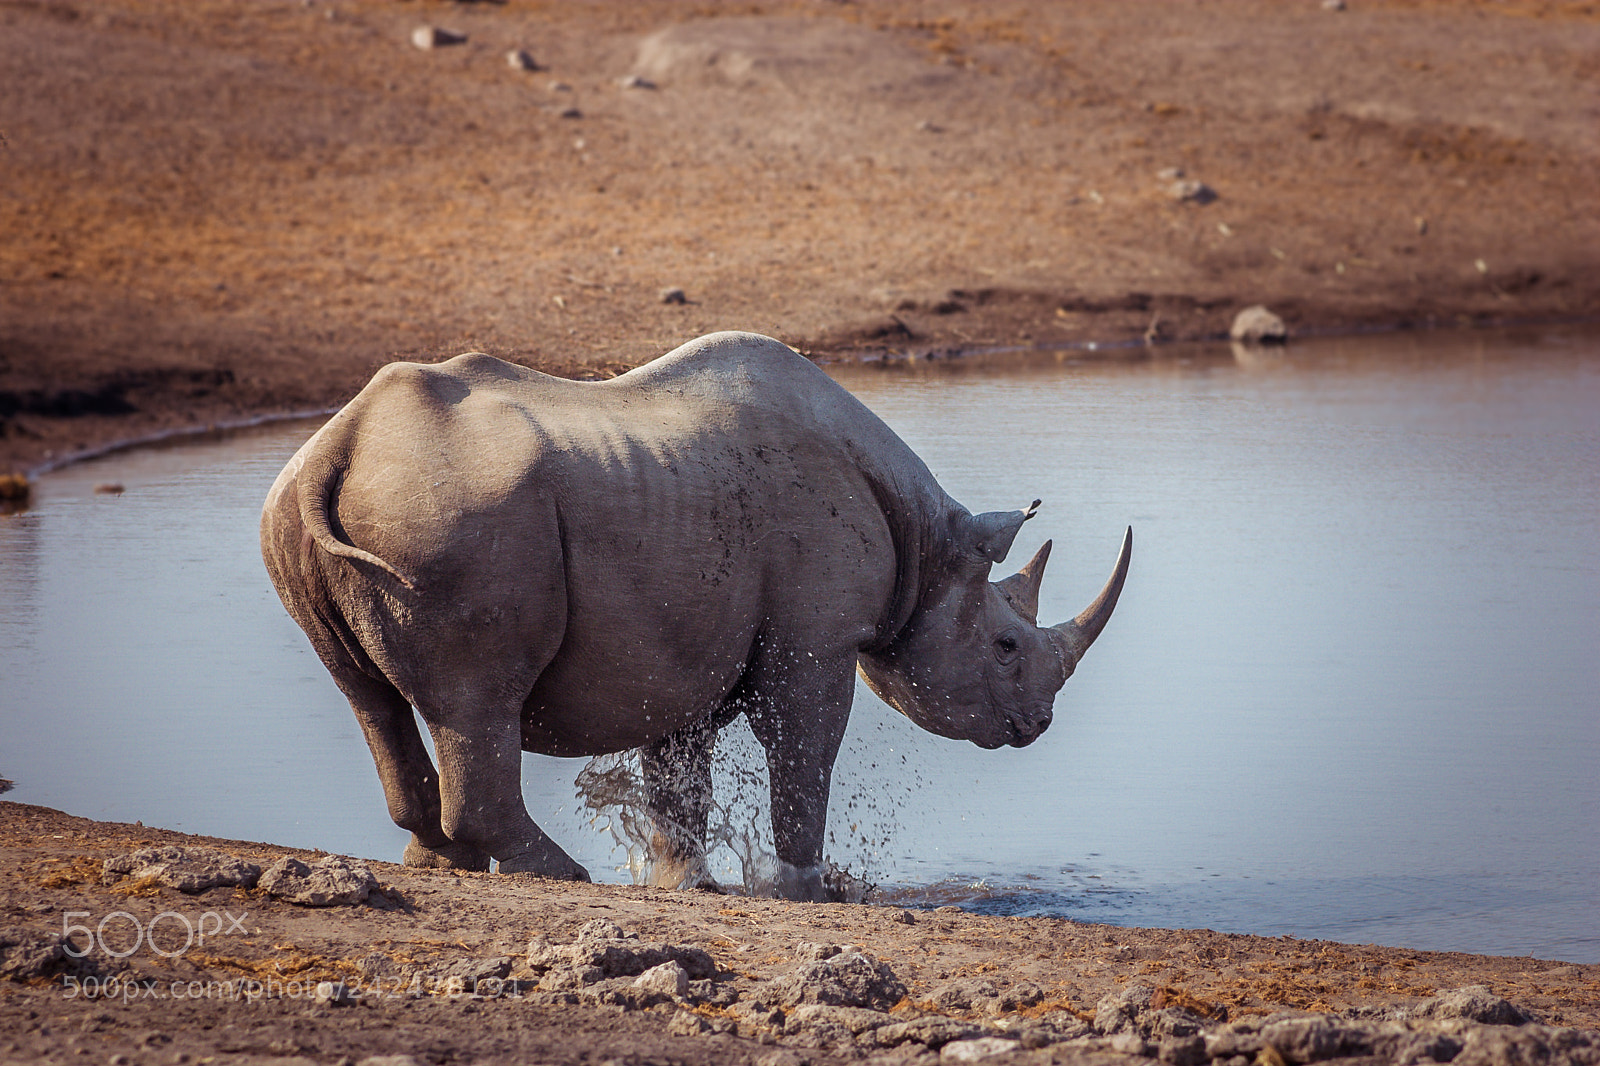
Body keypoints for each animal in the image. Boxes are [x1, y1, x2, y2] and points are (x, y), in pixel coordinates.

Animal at [260, 331, 1130, 901]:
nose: (1038, 724)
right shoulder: (815, 642)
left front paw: (689, 882)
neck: (927, 543)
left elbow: (679, 777)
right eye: (1007, 645)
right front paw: (803, 887)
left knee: (371, 698)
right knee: (479, 702)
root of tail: (342, 444)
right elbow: (804, 754)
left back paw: (443, 865)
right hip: (456, 519)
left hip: (308, 520)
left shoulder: (679, 638)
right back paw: (560, 875)